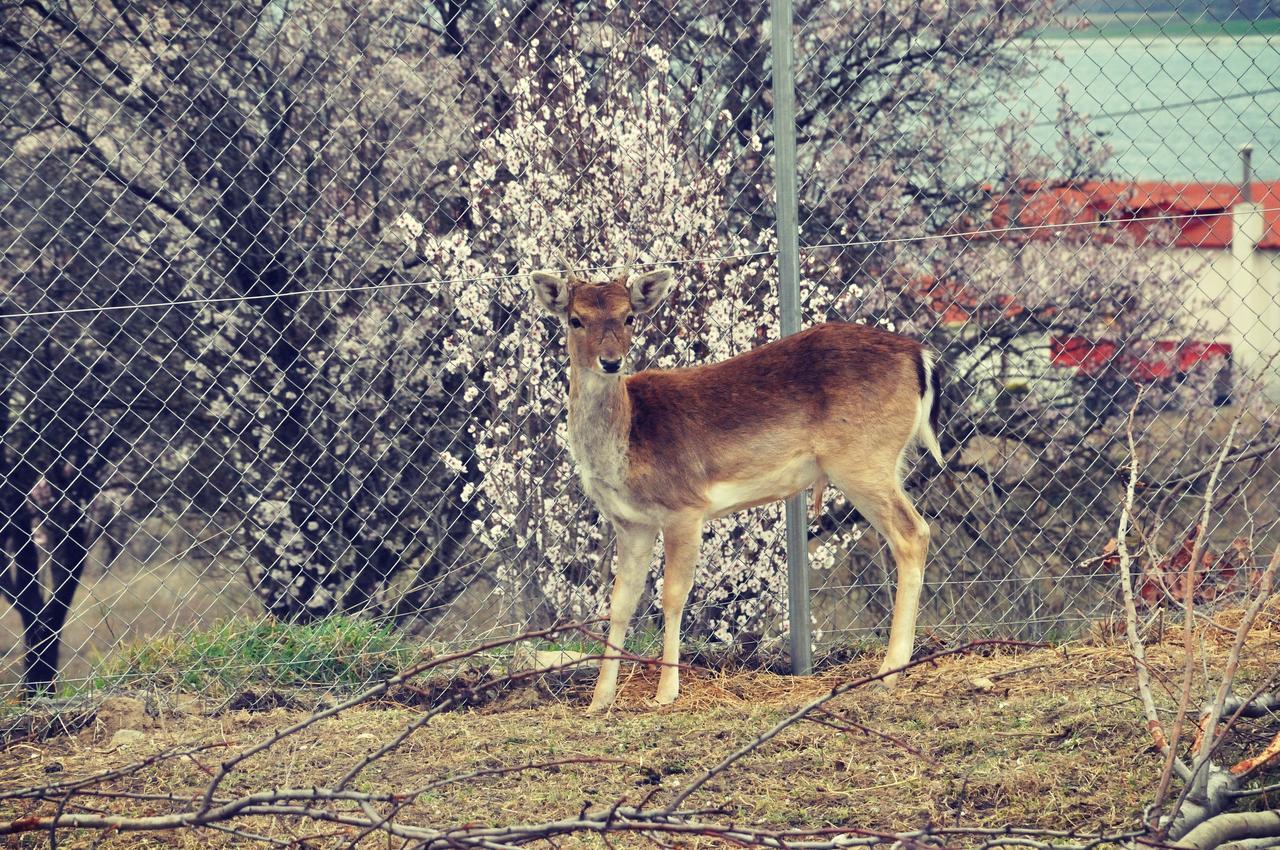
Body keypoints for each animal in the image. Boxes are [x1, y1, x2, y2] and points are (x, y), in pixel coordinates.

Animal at [527, 267, 942, 711]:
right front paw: (599, 701)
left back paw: (889, 672)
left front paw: (666, 692)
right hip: (881, 462)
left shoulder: (684, 507)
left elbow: (673, 596)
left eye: (629, 317)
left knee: (913, 532)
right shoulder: (631, 522)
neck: (625, 445)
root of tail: (920, 356)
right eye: (576, 319)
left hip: (864, 459)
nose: (610, 361)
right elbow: (620, 604)